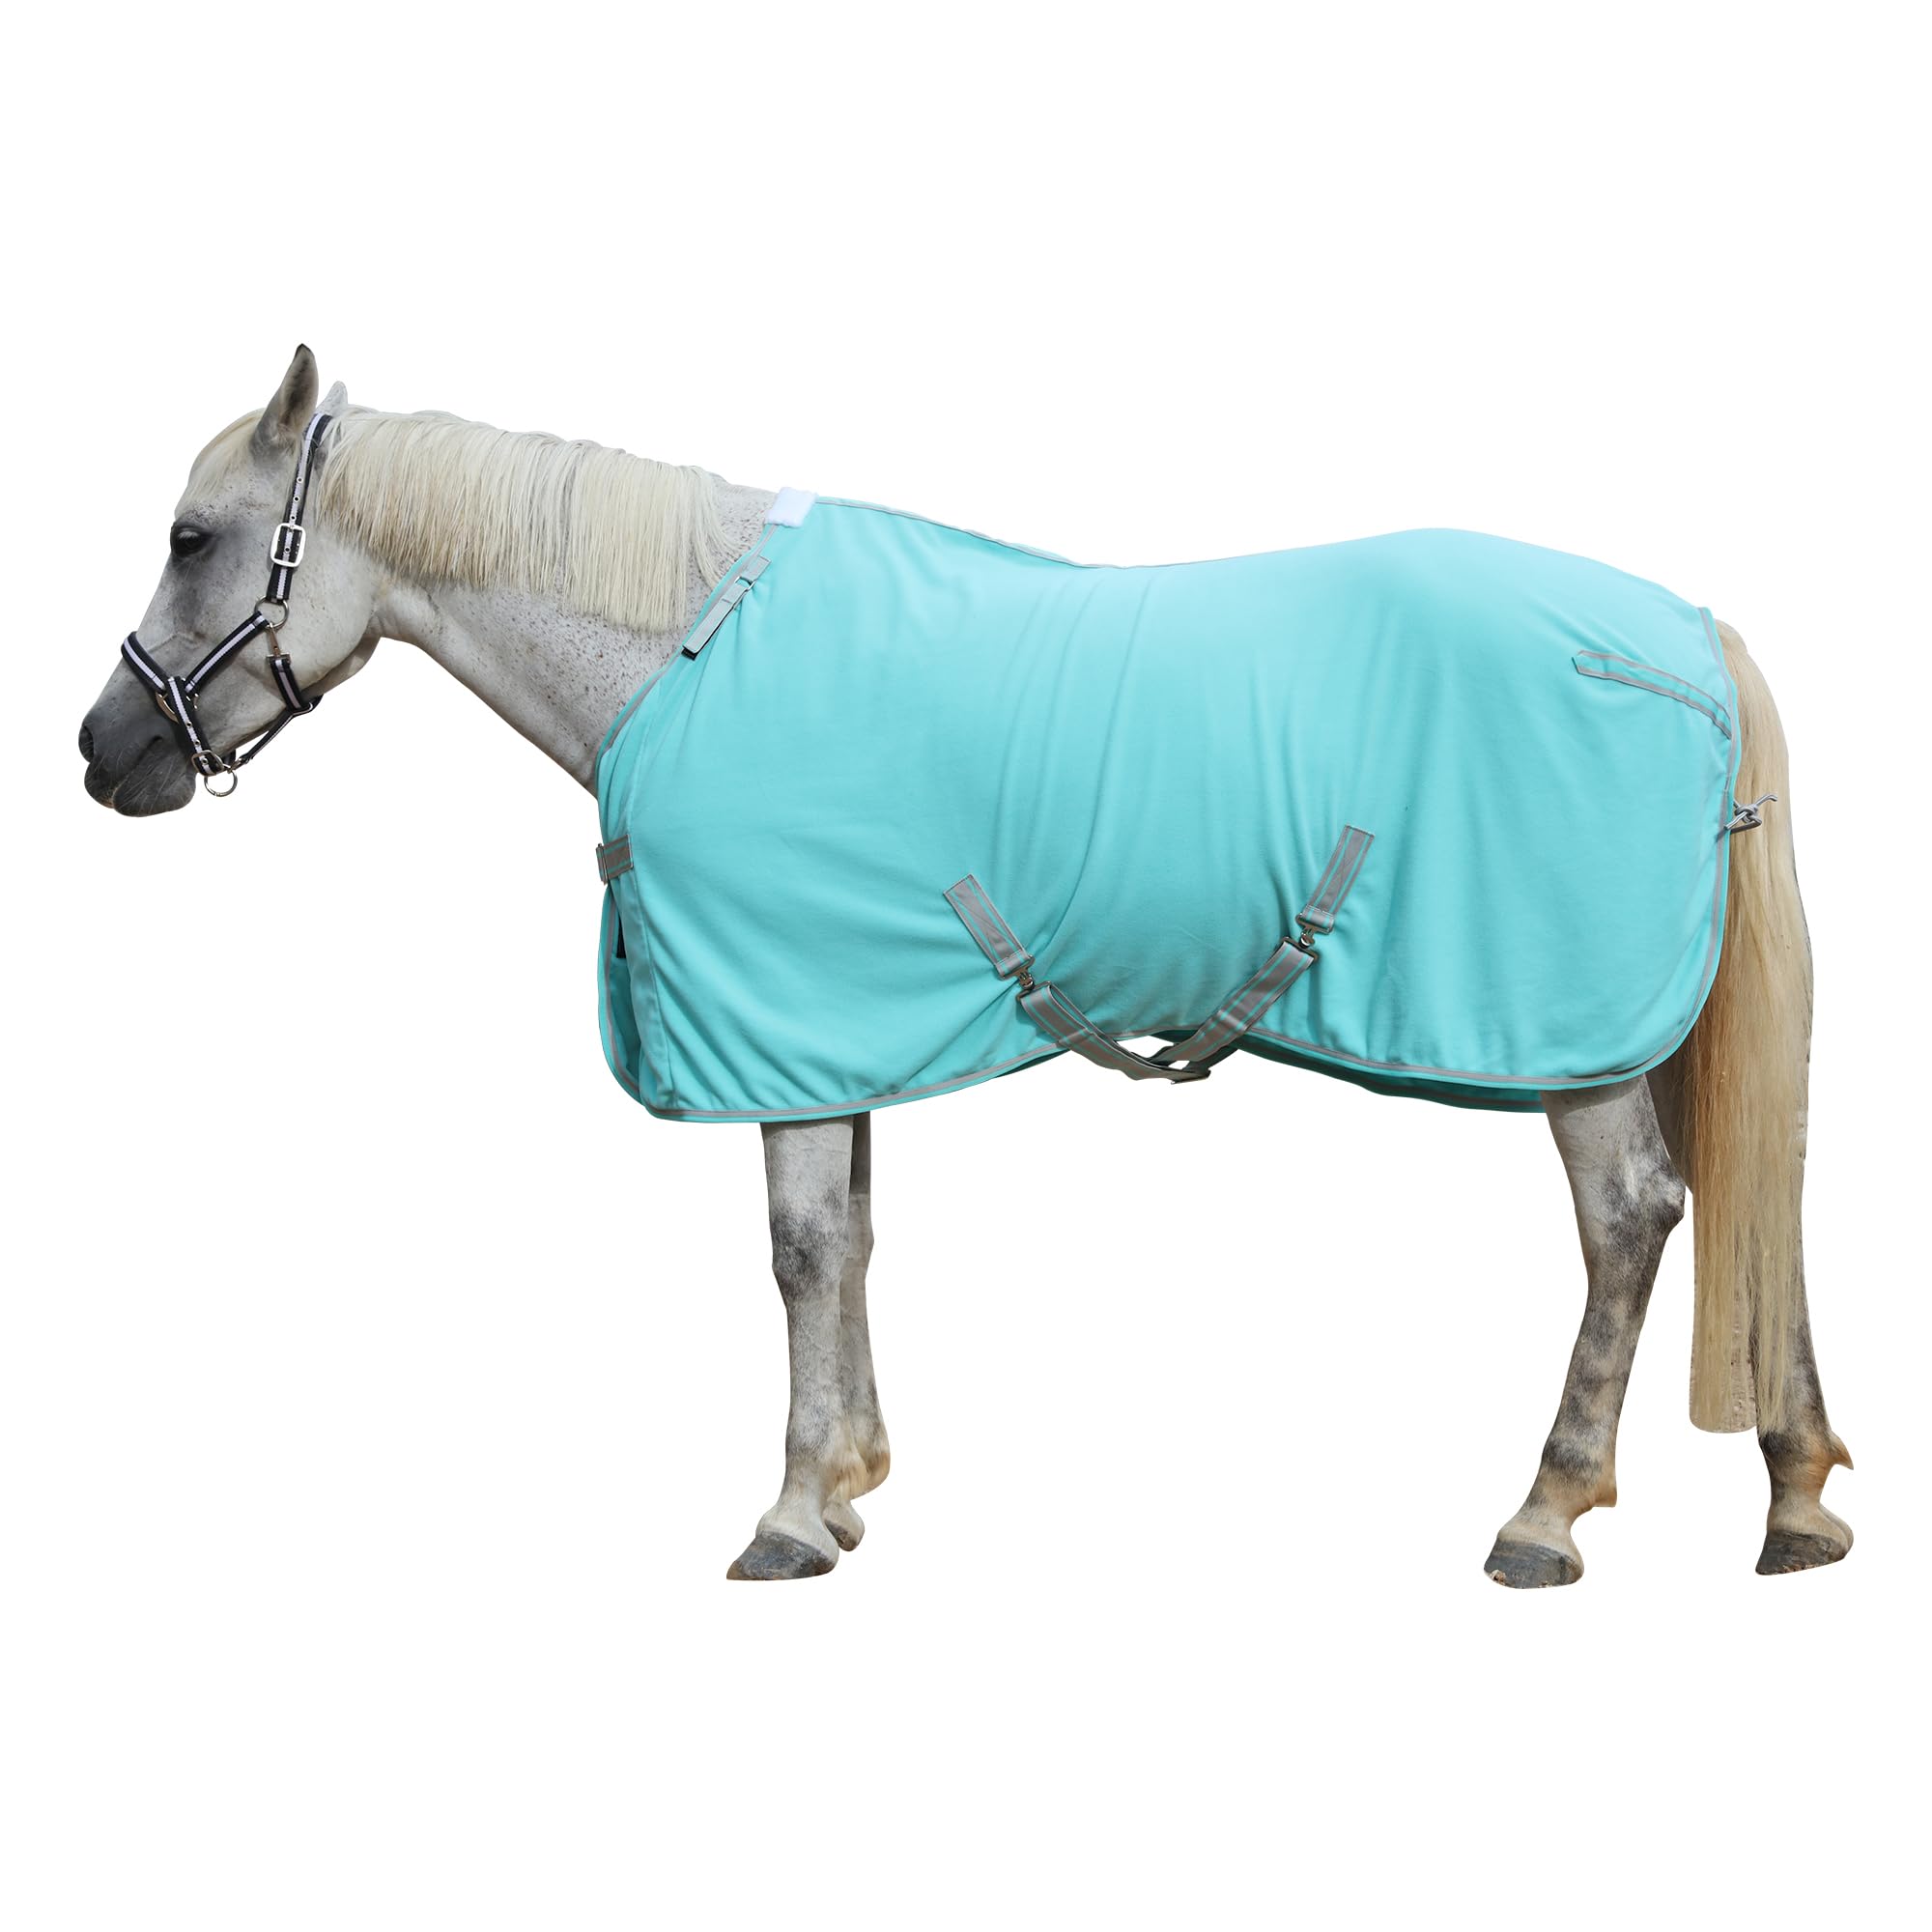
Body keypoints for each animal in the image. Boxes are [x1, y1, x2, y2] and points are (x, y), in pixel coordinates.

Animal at [78, 346, 1854, 1585]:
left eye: (190, 535)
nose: (104, 754)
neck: (688, 649)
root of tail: (1681, 637)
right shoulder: (832, 1029)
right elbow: (853, 1243)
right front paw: (851, 1488)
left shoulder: (781, 1018)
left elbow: (801, 1253)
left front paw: (791, 1517)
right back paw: (1796, 1492)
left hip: (1574, 1039)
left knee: (1630, 1221)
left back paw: (1546, 1515)